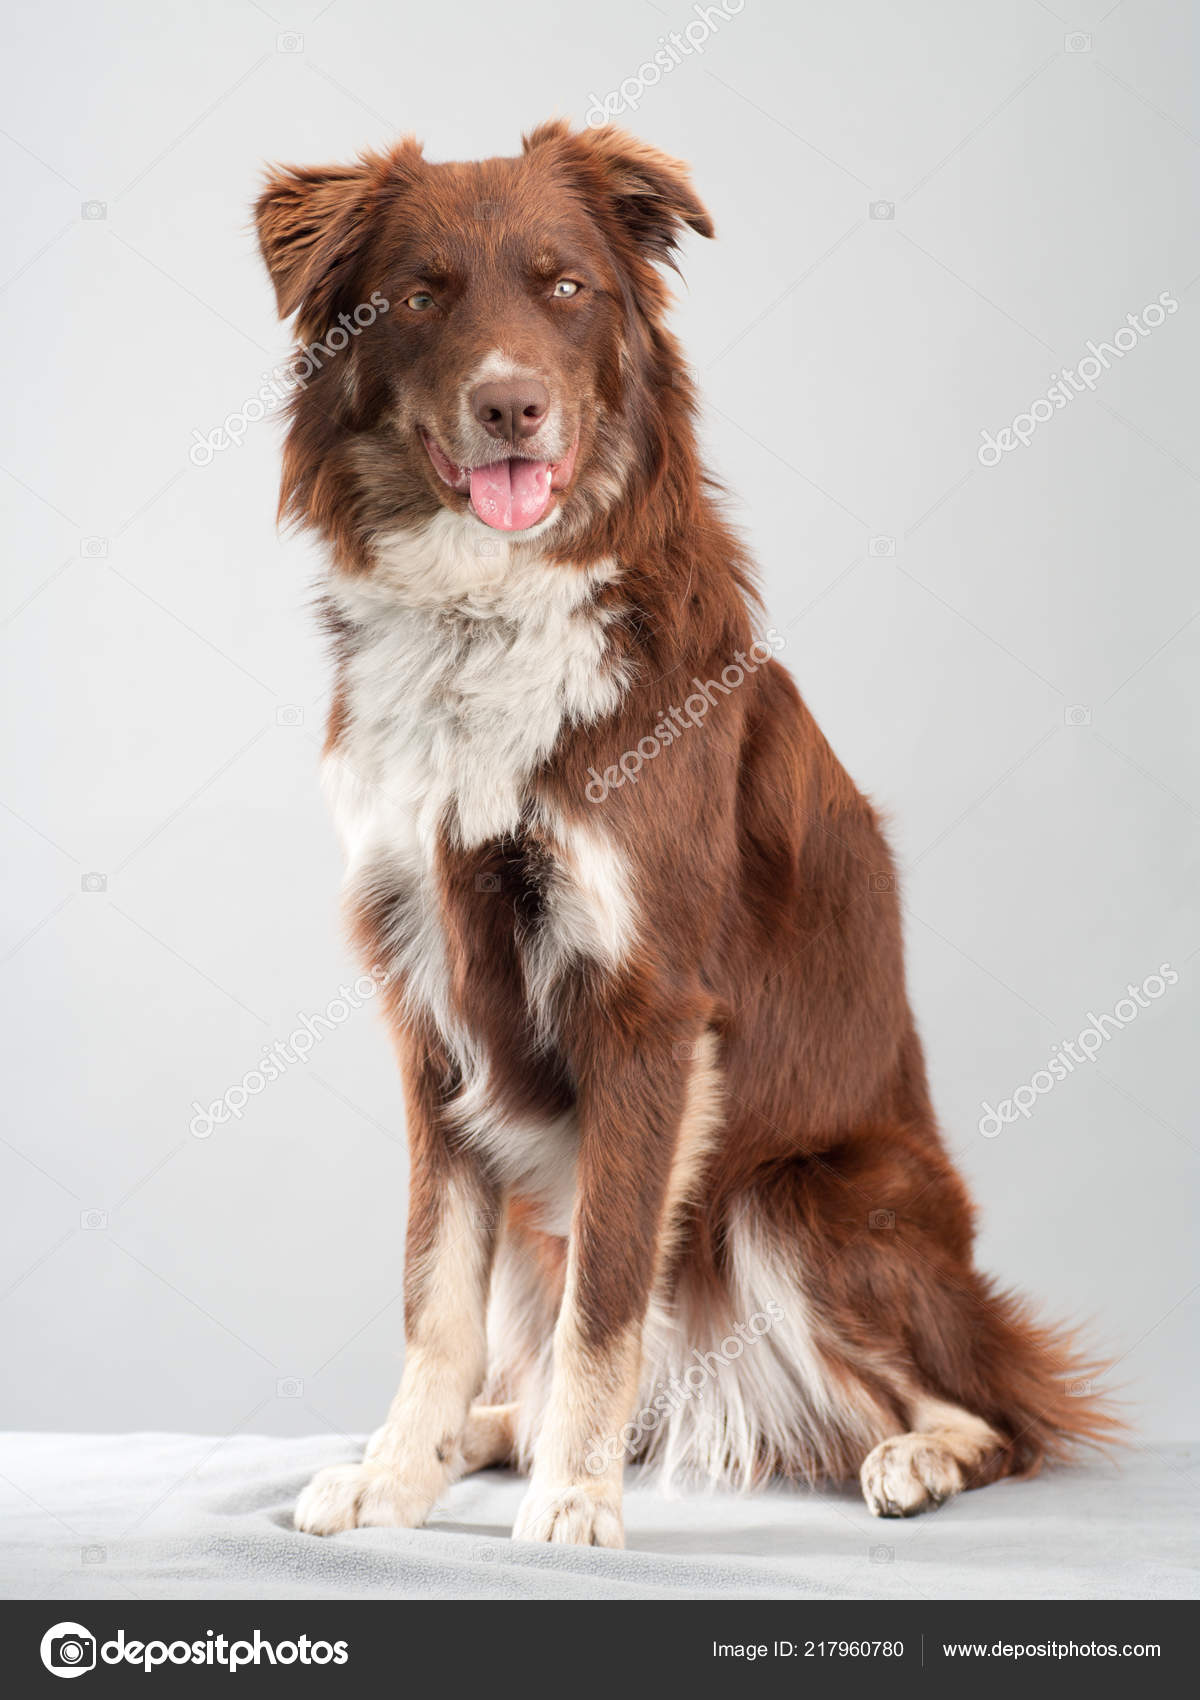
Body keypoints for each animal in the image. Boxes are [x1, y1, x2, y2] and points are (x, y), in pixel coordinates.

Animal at [254, 125, 1115, 1550]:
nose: (512, 407)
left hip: (791, 1195)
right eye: (422, 295)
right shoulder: (432, 1009)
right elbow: (435, 1291)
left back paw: (914, 1458)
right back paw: (486, 1437)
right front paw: (397, 1471)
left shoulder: (649, 1007)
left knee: (995, 1415)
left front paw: (575, 1499)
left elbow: (609, 1298)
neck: (486, 615)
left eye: (564, 288)